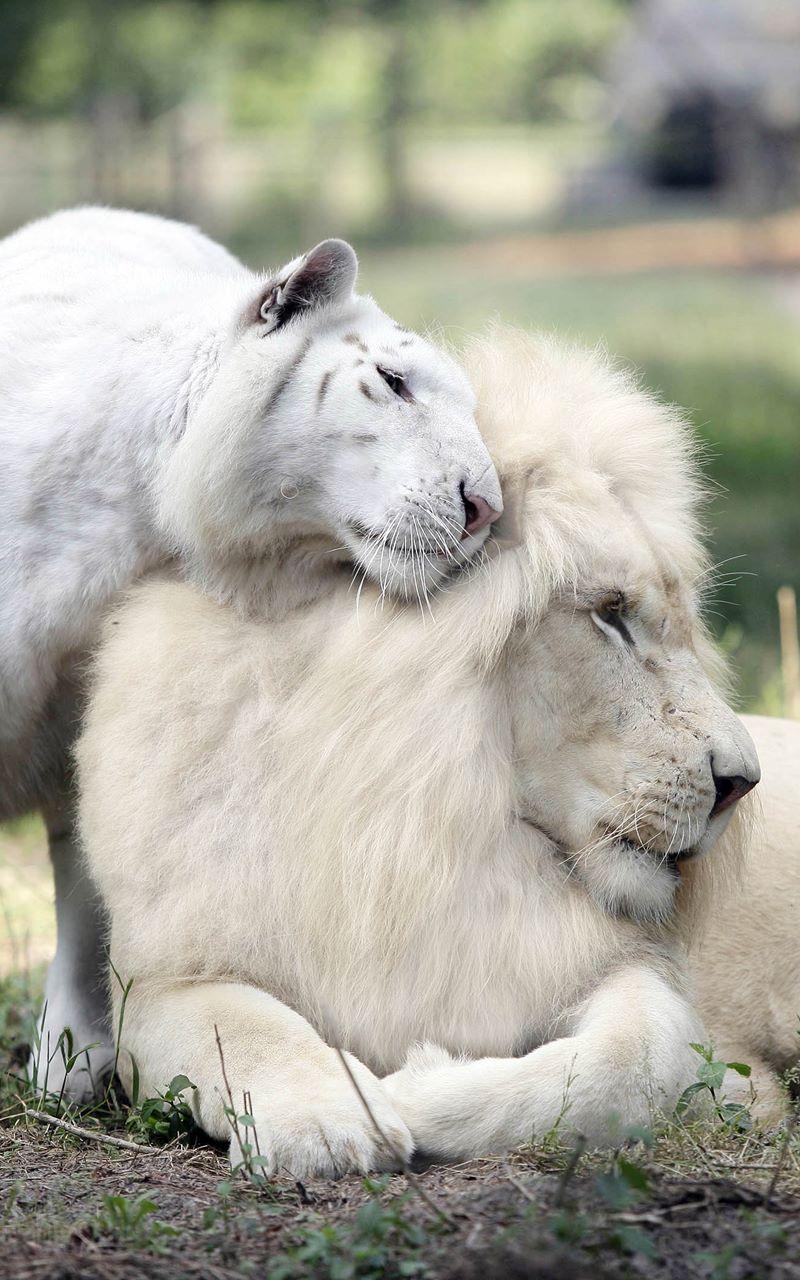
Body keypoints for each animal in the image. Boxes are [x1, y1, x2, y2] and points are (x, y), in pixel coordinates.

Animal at [76, 328, 794, 1178]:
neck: (420, 827)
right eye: (610, 613)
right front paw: (331, 1116)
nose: (741, 782)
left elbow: (631, 1060)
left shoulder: (632, 976)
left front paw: (414, 1086)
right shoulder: (161, 983)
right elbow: (246, 1029)